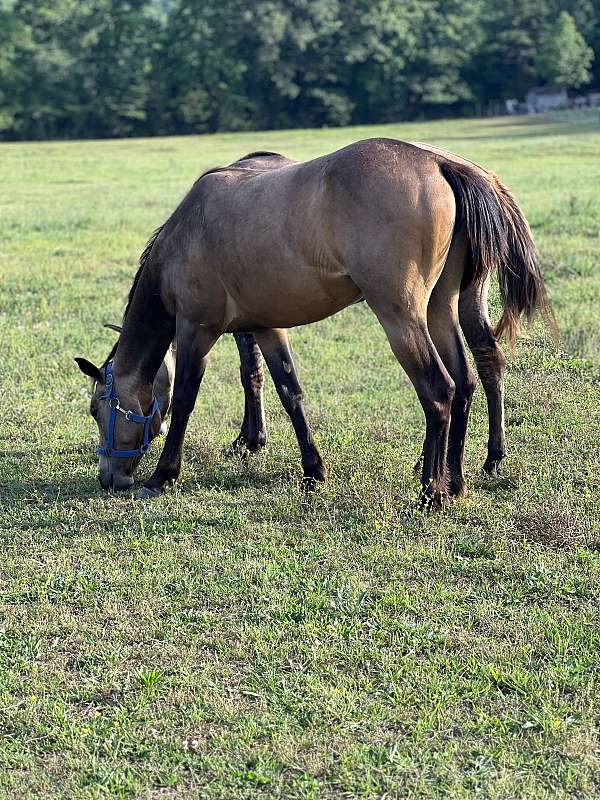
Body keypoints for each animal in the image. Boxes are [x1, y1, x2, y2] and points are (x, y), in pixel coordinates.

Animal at [75, 139, 553, 507]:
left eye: (97, 409)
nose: (108, 479)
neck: (186, 234)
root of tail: (440, 163)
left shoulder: (197, 329)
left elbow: (185, 401)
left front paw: (163, 476)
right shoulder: (267, 329)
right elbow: (291, 394)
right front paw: (312, 470)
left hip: (401, 317)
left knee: (440, 391)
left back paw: (431, 491)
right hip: (441, 308)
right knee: (468, 380)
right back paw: (454, 480)